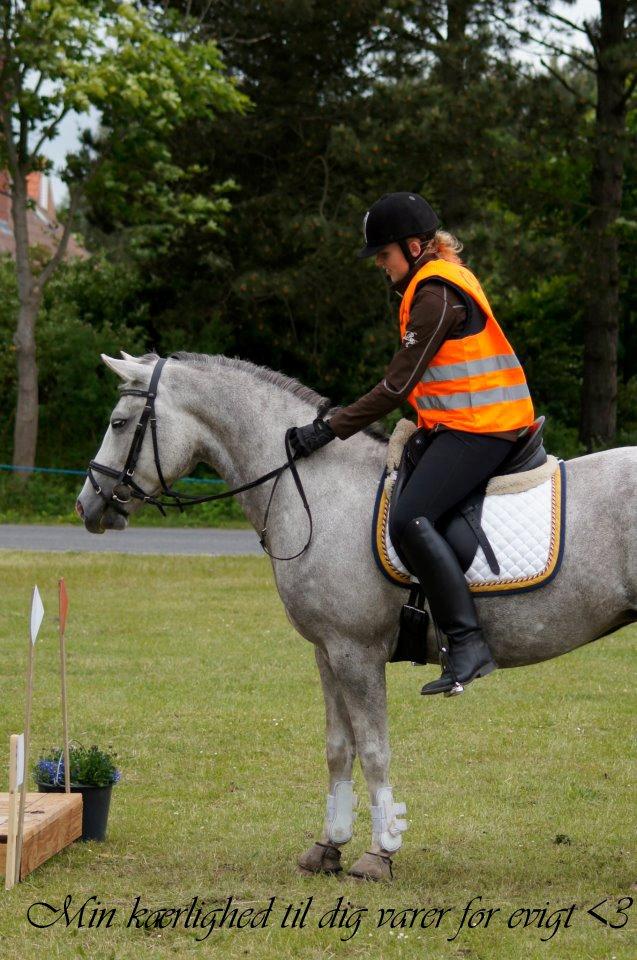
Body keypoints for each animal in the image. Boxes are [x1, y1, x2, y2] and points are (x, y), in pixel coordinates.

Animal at [76, 352, 637, 880]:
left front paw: (378, 854)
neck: (318, 491)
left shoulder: (357, 653)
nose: (88, 505)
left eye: (119, 423)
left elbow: (373, 749)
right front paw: (328, 847)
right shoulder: (328, 653)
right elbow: (338, 748)